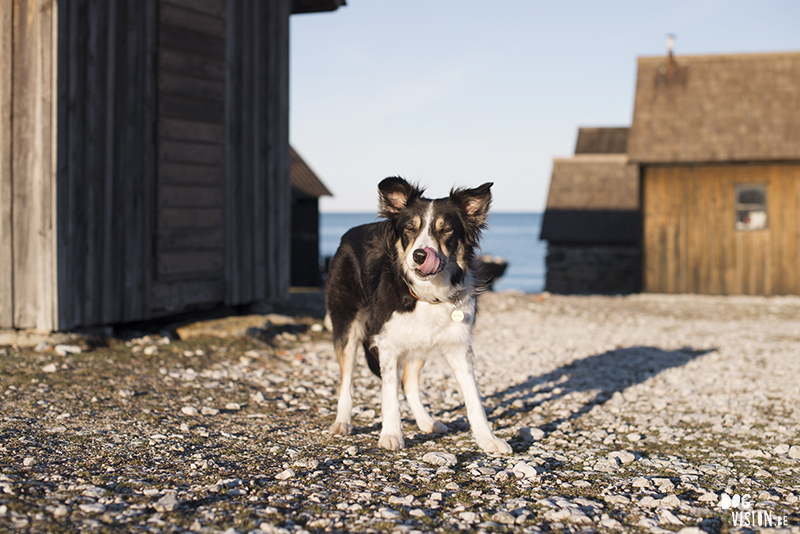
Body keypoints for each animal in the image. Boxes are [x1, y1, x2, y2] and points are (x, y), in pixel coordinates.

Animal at [324, 178, 512, 454]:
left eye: (446, 230)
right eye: (410, 229)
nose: (420, 255)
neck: (427, 295)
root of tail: (348, 236)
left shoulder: (459, 347)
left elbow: (474, 399)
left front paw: (488, 439)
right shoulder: (388, 344)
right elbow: (389, 394)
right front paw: (391, 434)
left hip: (420, 341)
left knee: (409, 381)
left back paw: (427, 422)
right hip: (347, 325)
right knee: (346, 379)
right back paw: (342, 422)